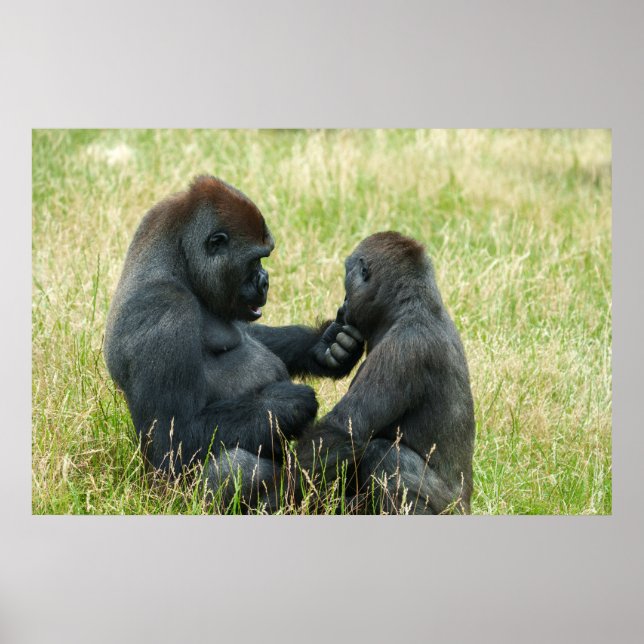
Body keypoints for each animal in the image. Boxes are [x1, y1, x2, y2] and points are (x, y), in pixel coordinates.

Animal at [104, 176, 363, 511]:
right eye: (256, 260)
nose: (265, 281)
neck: (177, 263)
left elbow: (255, 335)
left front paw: (327, 345)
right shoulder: (164, 311)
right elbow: (172, 439)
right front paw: (286, 402)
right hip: (167, 499)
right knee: (233, 465)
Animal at [295, 231, 475, 514]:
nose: (344, 304)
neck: (411, 304)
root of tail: (467, 505)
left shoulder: (405, 347)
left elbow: (345, 430)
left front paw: (275, 494)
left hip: (449, 509)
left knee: (386, 454)